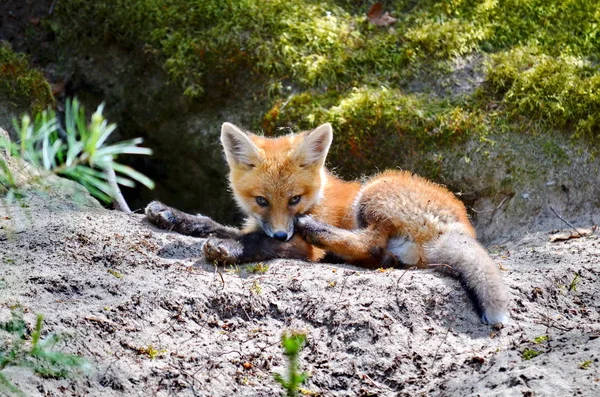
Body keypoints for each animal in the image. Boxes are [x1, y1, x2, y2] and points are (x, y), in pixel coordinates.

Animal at [145, 122, 506, 324]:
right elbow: (214, 223)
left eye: (294, 199)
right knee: (380, 256)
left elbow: (257, 242)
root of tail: (463, 227)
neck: (316, 197)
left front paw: (228, 248)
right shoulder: (258, 222)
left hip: (375, 191)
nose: (283, 230)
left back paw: (317, 230)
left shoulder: (298, 246)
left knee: (370, 247)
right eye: (262, 200)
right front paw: (172, 215)